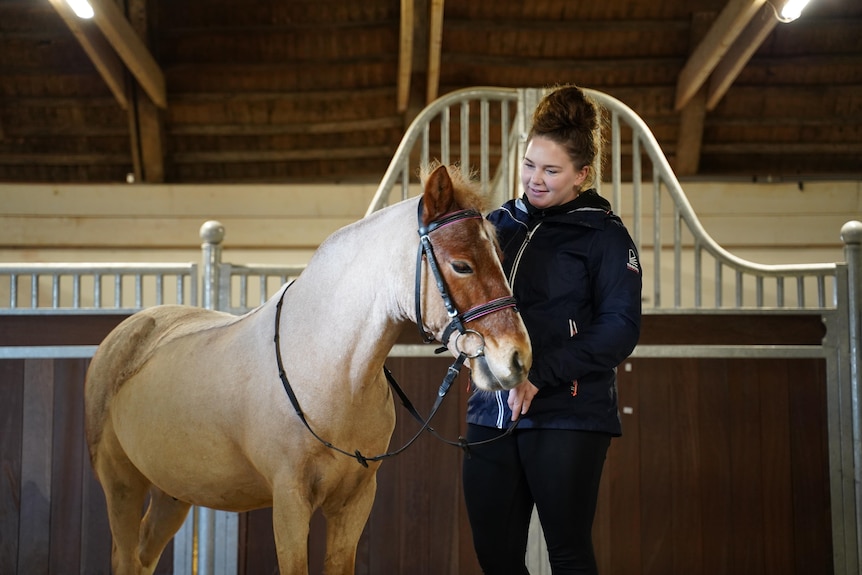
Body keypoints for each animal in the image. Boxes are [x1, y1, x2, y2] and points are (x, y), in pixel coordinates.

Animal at [88, 163, 532, 575]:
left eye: (499, 257)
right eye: (461, 265)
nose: (518, 358)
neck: (330, 369)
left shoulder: (355, 502)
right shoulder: (289, 501)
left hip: (172, 492)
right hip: (121, 485)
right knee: (126, 556)